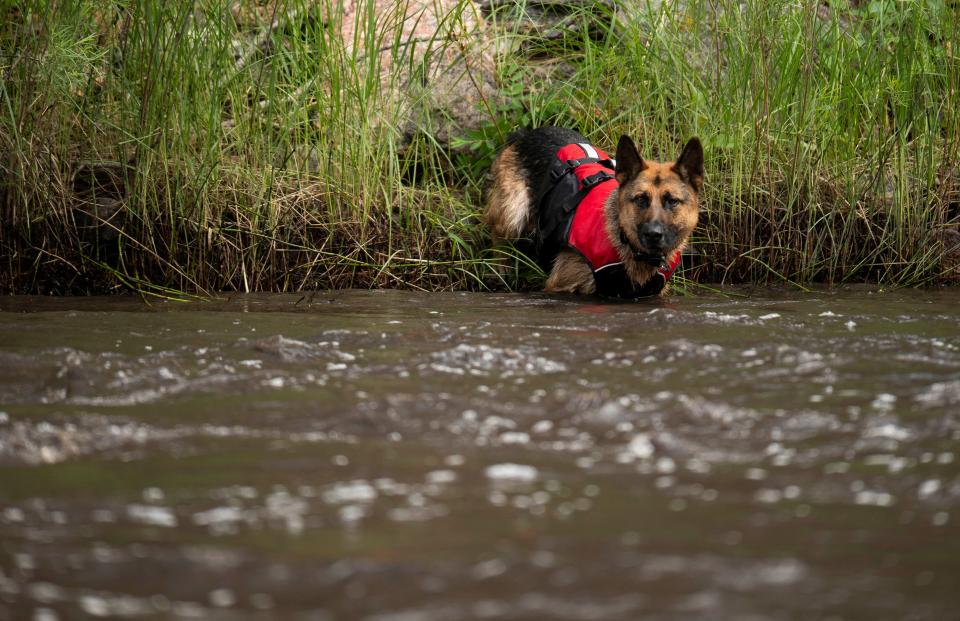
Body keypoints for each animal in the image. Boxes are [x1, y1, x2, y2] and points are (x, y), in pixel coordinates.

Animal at [484, 126, 700, 298]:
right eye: (640, 199)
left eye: (672, 201)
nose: (654, 234)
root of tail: (526, 133)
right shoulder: (560, 285)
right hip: (513, 213)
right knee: (499, 238)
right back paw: (500, 272)